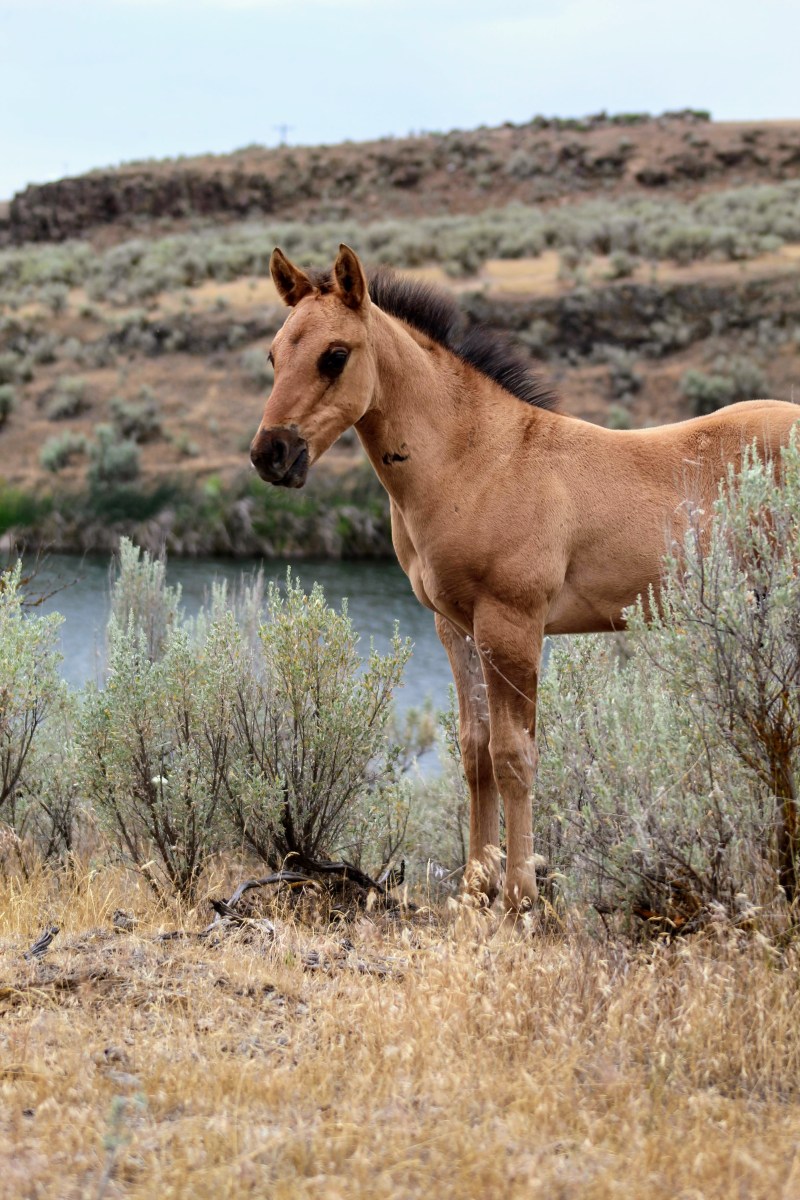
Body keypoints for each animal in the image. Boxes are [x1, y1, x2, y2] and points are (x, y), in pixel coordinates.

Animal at [250, 243, 800, 912]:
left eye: (335, 355)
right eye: (274, 354)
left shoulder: (511, 626)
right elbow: (474, 752)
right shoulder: (455, 627)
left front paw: (518, 895)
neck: (481, 461)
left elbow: (515, 756)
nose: (271, 454)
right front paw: (474, 888)